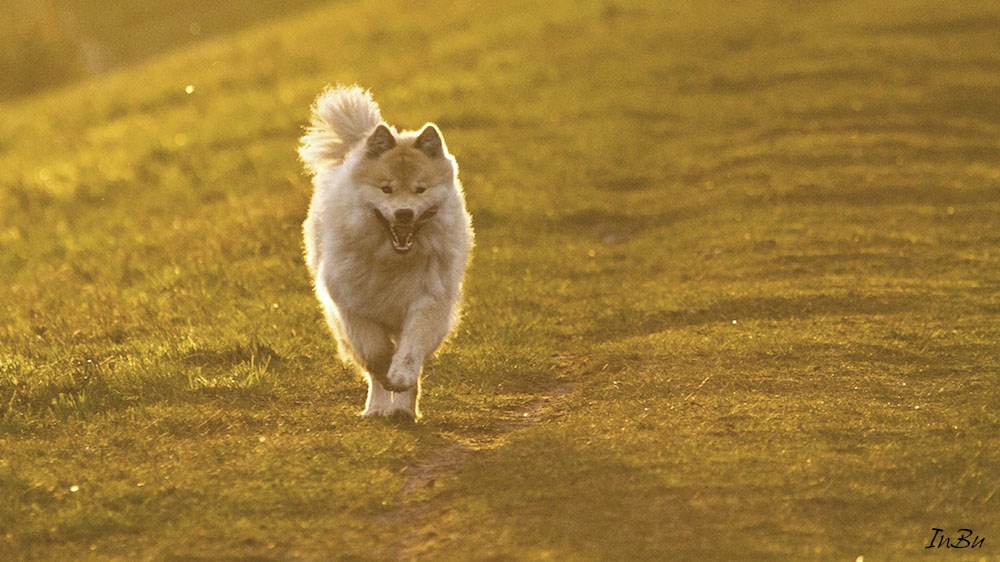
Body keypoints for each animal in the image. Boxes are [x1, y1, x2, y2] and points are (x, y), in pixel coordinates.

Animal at [298, 83, 474, 416]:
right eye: (386, 189)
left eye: (420, 189)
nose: (404, 213)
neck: (394, 261)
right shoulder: (353, 306)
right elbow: (376, 353)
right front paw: (383, 380)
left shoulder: (428, 301)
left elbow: (410, 350)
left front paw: (400, 377)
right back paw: (378, 409)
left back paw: (403, 412)